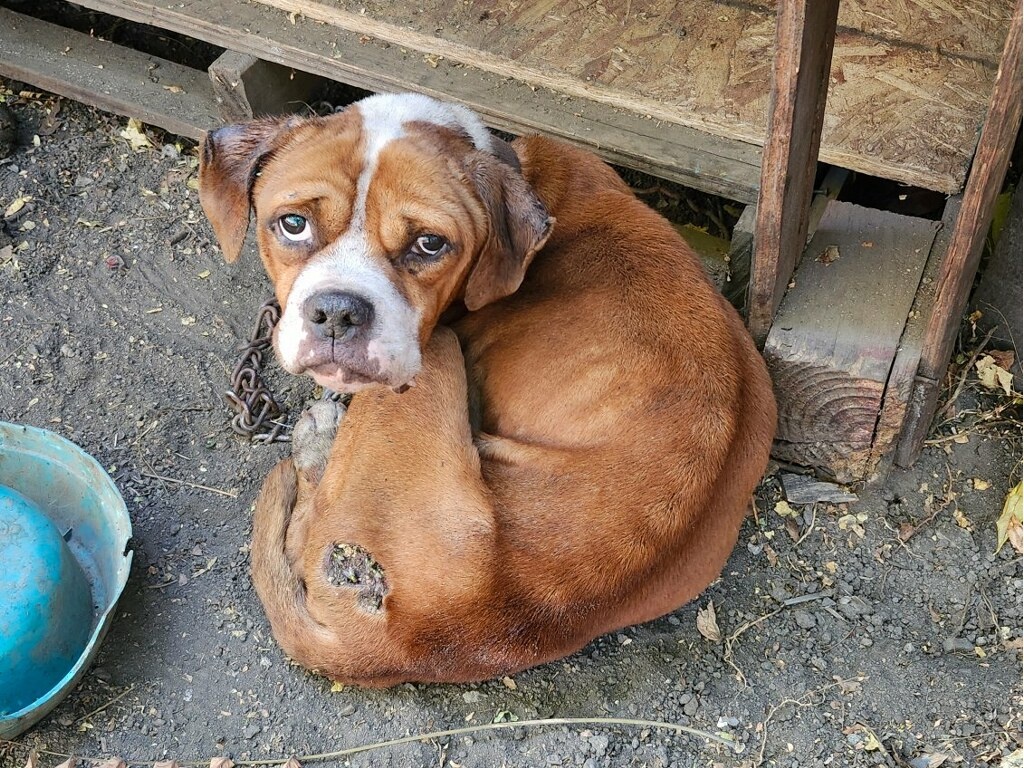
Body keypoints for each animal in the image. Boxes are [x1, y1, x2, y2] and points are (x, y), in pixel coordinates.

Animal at [197, 93, 774, 688]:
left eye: (430, 244)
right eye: (292, 224)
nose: (338, 311)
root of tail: (406, 640)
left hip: (434, 358)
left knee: (304, 525)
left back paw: (318, 440)